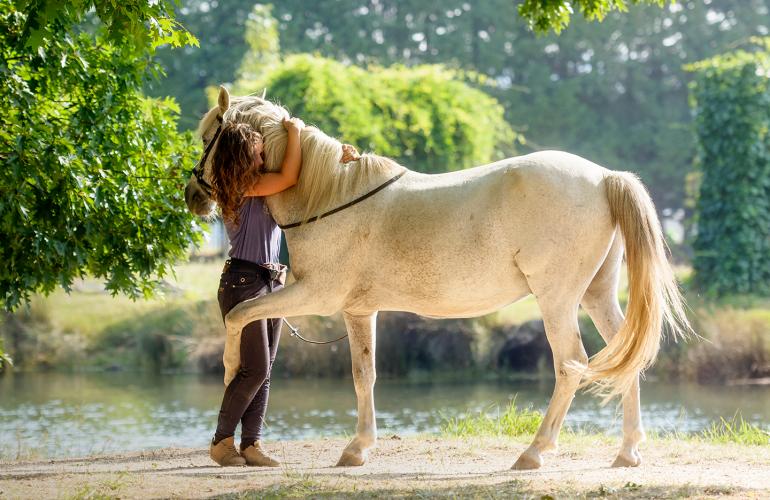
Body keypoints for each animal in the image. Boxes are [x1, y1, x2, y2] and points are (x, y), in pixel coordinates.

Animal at [184, 86, 690, 470]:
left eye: (209, 135)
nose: (192, 194)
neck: (329, 196)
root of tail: (604, 177)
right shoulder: (358, 311)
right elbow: (364, 375)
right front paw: (358, 448)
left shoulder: (315, 295)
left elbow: (240, 315)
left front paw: (229, 367)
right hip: (596, 295)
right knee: (625, 357)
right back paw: (627, 452)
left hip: (557, 300)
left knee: (570, 364)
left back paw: (534, 452)